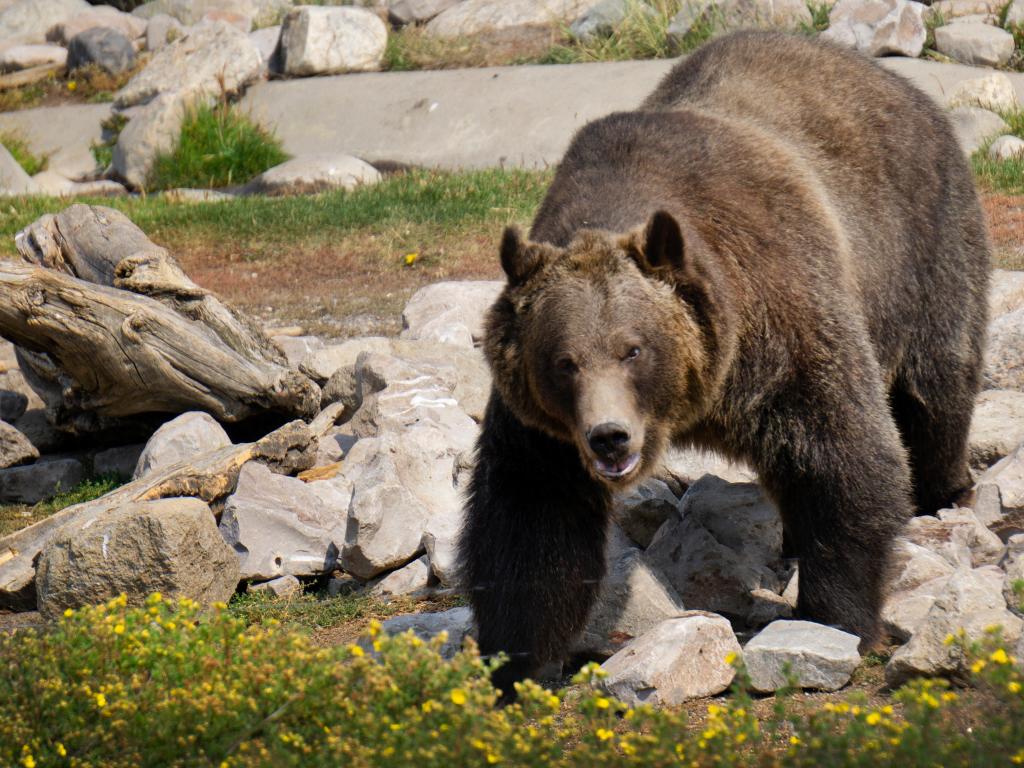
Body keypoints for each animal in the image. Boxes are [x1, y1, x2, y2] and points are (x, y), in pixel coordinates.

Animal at [460, 30, 987, 696]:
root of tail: (881, 73)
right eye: (564, 362)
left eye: (634, 348)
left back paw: (942, 490)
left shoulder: (783, 329)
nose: (609, 437)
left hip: (920, 246)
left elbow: (845, 454)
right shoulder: (544, 430)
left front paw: (836, 619)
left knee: (934, 389)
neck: (699, 399)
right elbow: (530, 516)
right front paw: (514, 661)